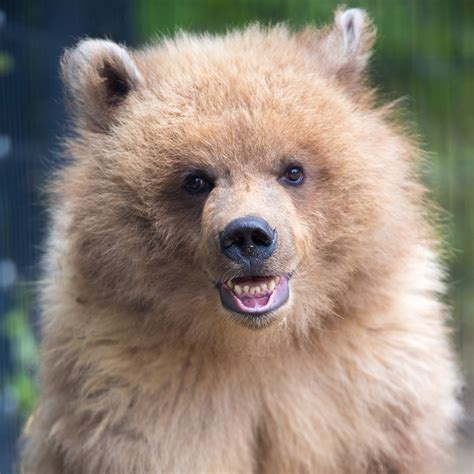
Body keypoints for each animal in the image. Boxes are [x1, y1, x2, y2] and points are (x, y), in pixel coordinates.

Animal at [20, 7, 462, 474]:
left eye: (292, 170)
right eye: (196, 179)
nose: (248, 235)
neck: (256, 347)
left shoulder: (371, 389)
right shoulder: (136, 389)